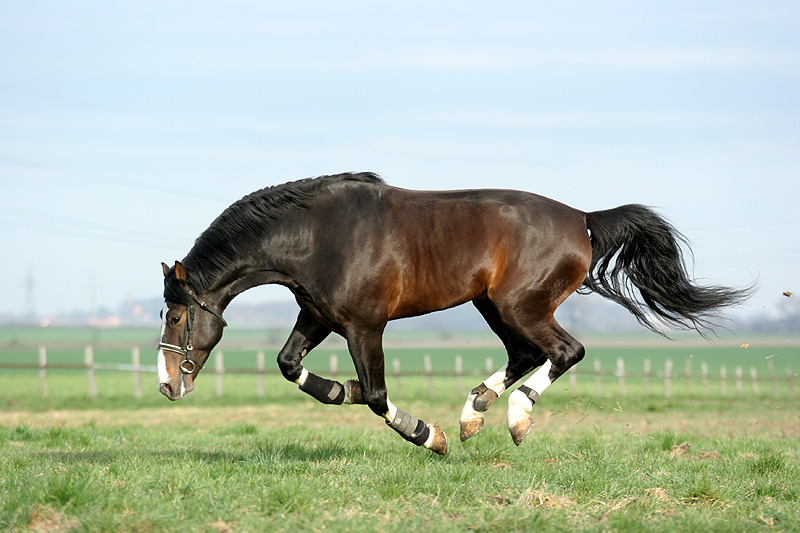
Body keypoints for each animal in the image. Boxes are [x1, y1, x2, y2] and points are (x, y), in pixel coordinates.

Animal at [158, 171, 752, 454]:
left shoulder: (364, 326)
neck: (318, 236)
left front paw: (428, 435)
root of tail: (582, 219)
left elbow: (377, 396)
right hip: (493, 305)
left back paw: (514, 418)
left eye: (176, 317)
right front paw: (341, 390)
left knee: (565, 351)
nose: (167, 385)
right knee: (525, 355)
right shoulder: (320, 316)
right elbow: (289, 365)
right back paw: (475, 412)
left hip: (520, 305)